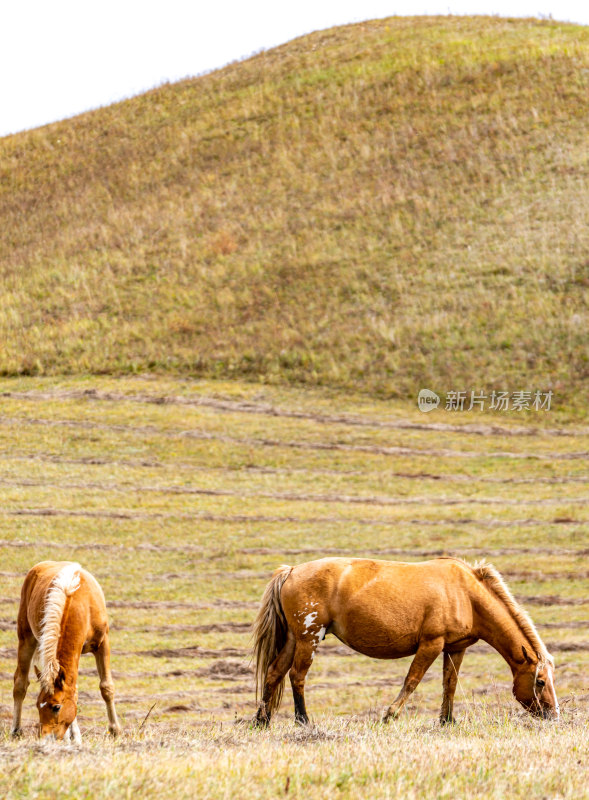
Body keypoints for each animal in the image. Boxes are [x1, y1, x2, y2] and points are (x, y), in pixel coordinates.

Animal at [10, 560, 120, 740]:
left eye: (56, 707)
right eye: (38, 705)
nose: (46, 738)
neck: (80, 605)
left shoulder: (102, 643)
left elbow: (106, 687)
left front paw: (115, 730)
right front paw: (73, 737)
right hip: (26, 638)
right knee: (20, 683)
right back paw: (16, 730)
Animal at [250, 560, 560, 728]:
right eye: (540, 681)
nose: (554, 715)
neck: (466, 594)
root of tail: (290, 571)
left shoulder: (455, 648)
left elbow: (450, 684)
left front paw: (447, 721)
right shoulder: (431, 644)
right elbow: (412, 680)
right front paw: (390, 715)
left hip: (294, 639)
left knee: (275, 672)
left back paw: (261, 720)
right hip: (309, 638)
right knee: (297, 675)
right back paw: (303, 721)